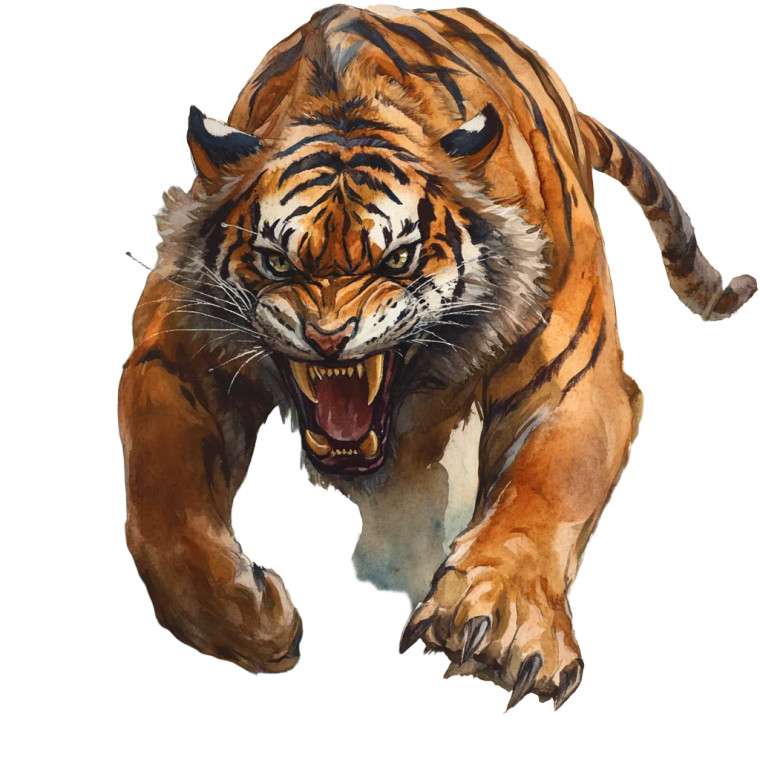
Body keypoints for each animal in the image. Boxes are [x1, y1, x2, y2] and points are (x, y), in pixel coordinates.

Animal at [118, 4, 756, 710]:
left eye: (399, 258)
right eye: (278, 262)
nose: (328, 337)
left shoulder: (574, 376)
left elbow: (547, 484)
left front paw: (502, 624)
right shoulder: (173, 355)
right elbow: (163, 505)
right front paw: (251, 621)